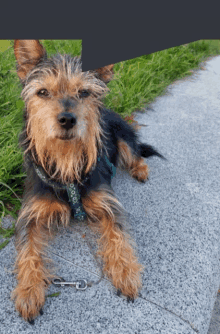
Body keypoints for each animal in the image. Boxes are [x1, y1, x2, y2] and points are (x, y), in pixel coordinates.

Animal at [12, 39, 163, 324]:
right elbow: (27, 250)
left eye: (83, 92)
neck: (66, 162)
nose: (67, 119)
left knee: (136, 152)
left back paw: (140, 170)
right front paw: (28, 290)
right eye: (42, 92)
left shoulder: (107, 202)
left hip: (123, 139)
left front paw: (125, 272)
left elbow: (118, 234)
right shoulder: (30, 212)